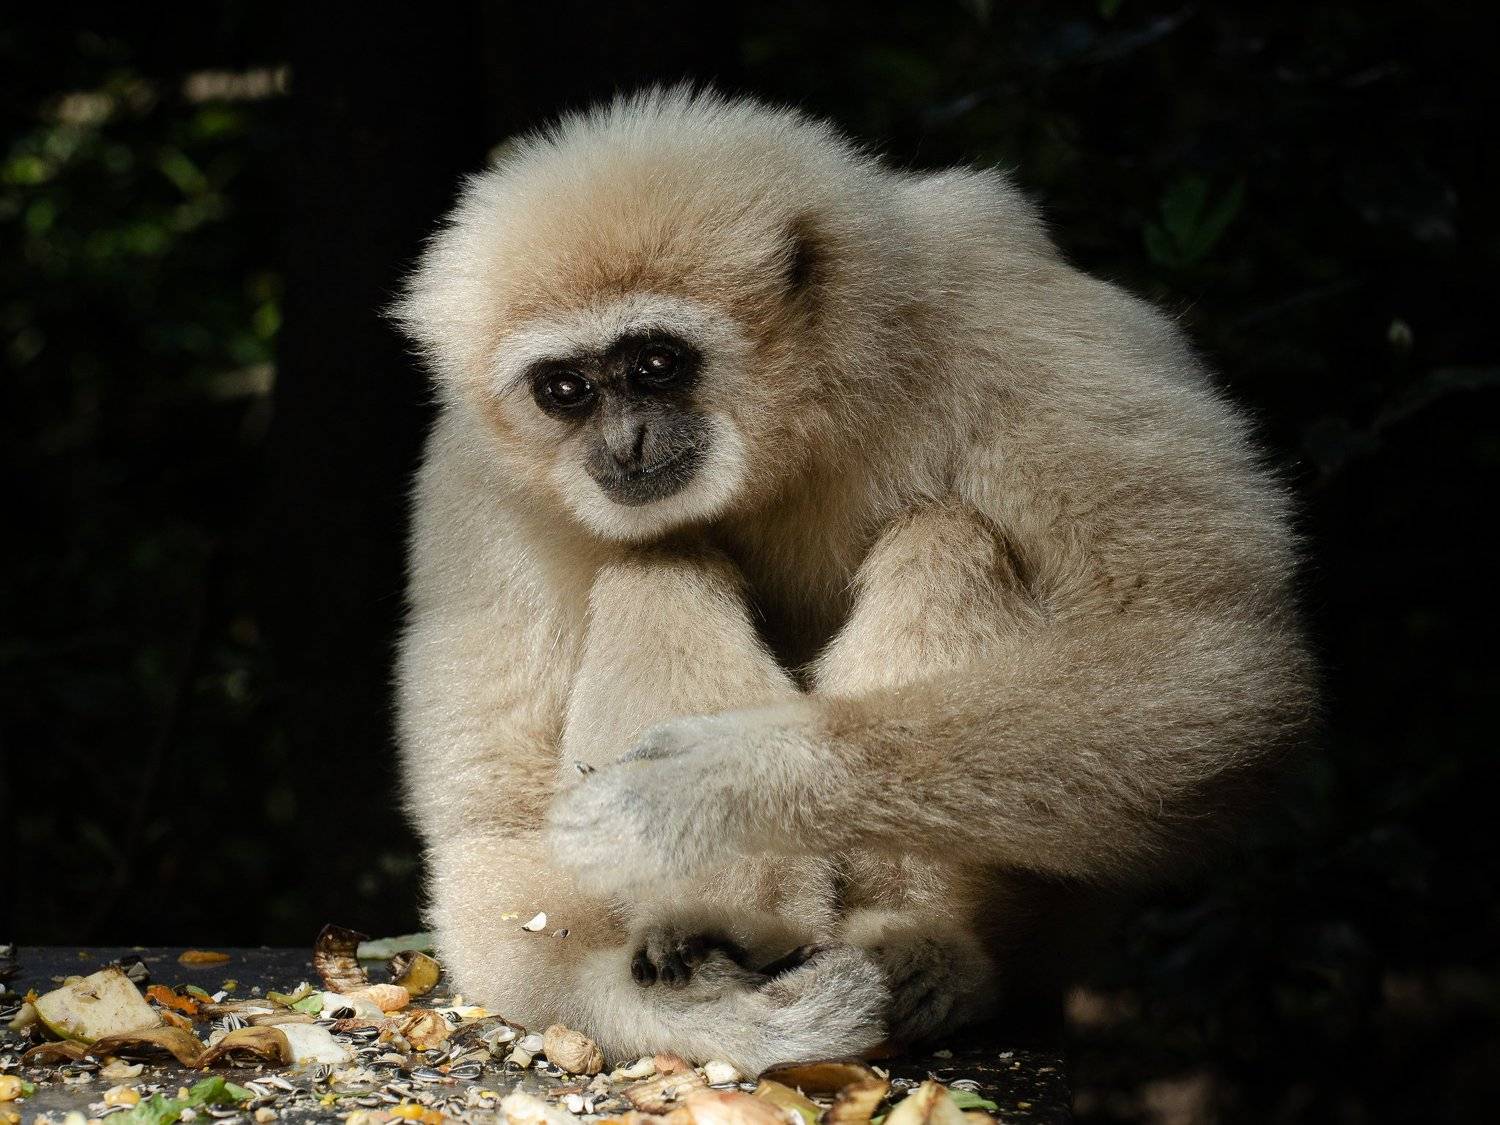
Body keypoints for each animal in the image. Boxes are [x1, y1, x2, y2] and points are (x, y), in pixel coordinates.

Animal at [391, 89, 1315, 1073]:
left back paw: (920, 939)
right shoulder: (478, 482)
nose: (625, 441)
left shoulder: (1021, 320)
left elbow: (1208, 649)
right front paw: (695, 1016)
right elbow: (492, 828)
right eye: (564, 389)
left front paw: (713, 794)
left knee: (945, 538)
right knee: (656, 565)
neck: (793, 434)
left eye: (656, 362)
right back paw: (718, 933)